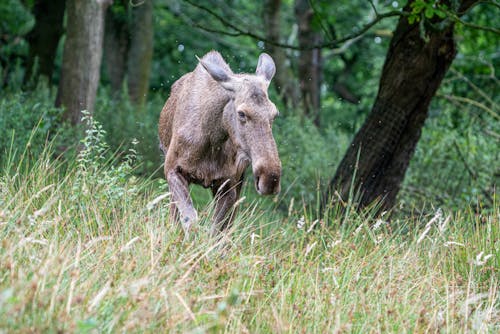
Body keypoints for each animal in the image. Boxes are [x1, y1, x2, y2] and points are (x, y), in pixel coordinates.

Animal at [158, 51, 282, 234]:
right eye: (241, 113)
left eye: (275, 113)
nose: (270, 178)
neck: (211, 139)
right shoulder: (172, 169)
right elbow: (190, 220)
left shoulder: (227, 184)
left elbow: (216, 229)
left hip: (240, 178)